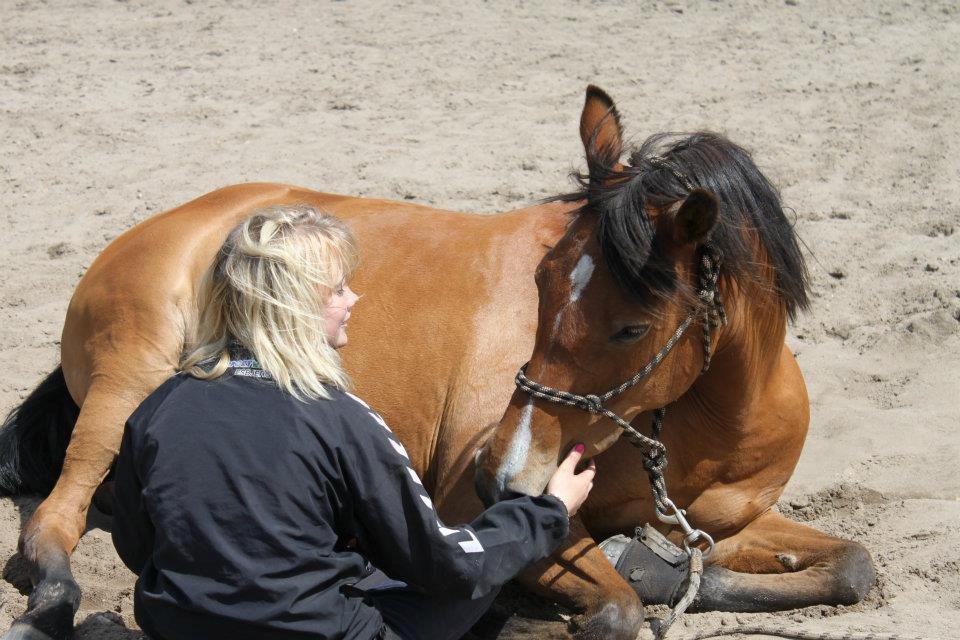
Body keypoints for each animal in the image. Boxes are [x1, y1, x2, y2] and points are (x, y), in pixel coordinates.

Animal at [0, 86, 872, 640]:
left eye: (630, 328)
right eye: (541, 283)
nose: (503, 478)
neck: (705, 425)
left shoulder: (727, 523)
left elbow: (851, 567)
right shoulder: (461, 505)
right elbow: (615, 606)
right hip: (130, 377)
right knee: (55, 517)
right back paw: (55, 602)